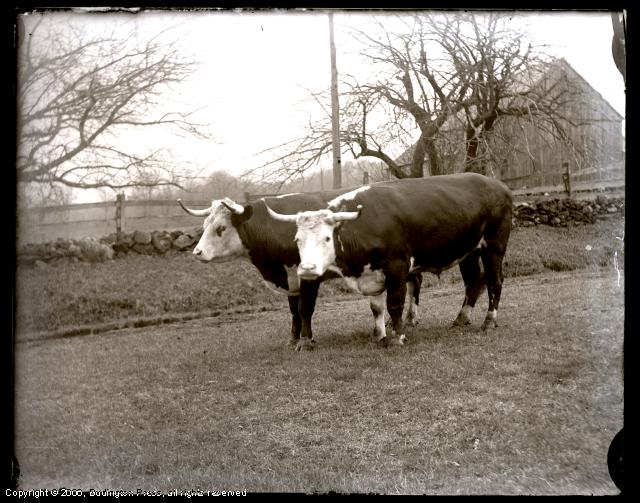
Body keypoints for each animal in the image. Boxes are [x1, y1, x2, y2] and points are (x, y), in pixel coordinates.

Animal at [178, 190, 423, 350]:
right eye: (204, 225)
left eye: (221, 228)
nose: (197, 252)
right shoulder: (291, 280)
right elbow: (294, 311)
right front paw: (293, 338)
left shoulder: (307, 277)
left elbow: (305, 309)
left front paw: (306, 341)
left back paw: (410, 319)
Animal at [265, 173, 513, 348]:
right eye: (297, 239)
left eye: (327, 238)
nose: (307, 268)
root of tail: (499, 185)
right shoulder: (372, 273)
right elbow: (376, 307)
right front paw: (379, 335)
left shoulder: (397, 266)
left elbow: (394, 303)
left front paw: (397, 337)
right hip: (468, 252)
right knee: (473, 282)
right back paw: (461, 318)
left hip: (493, 247)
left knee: (494, 282)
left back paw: (489, 321)